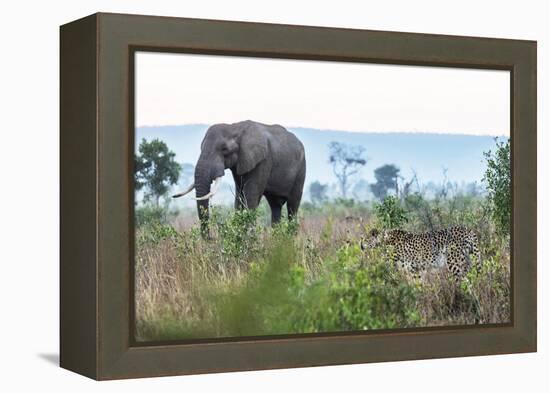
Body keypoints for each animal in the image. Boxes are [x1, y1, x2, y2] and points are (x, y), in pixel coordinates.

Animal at [174, 120, 306, 233]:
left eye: (224, 149)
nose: (210, 239)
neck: (235, 127)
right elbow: (239, 196)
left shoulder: (263, 161)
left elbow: (251, 197)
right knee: (275, 206)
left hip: (301, 169)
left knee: (292, 206)